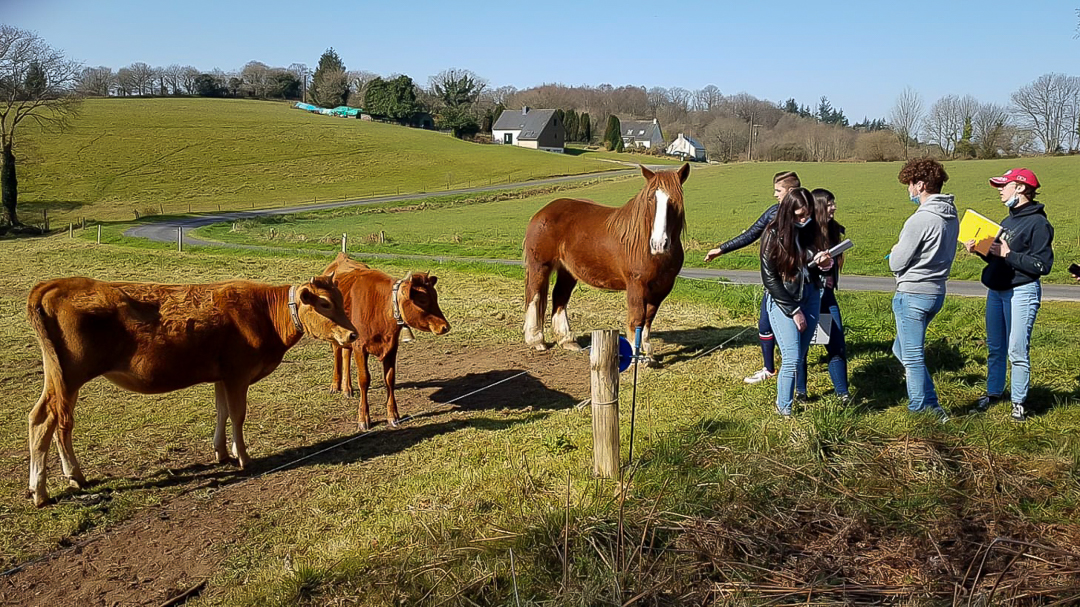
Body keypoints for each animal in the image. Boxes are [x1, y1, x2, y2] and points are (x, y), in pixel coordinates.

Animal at [25, 272, 356, 503]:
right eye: (324, 304)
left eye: (342, 301)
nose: (352, 335)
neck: (265, 313)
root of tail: (52, 285)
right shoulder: (237, 373)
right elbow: (238, 414)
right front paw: (243, 457)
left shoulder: (222, 376)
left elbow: (222, 412)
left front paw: (223, 452)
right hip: (70, 377)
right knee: (45, 420)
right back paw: (40, 492)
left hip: (61, 379)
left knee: (56, 421)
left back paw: (74, 476)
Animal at [321, 252, 453, 427]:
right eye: (423, 300)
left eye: (435, 297)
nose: (445, 326)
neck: (381, 307)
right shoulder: (360, 347)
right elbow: (364, 380)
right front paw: (363, 418)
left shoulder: (392, 347)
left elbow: (390, 379)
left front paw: (393, 414)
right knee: (338, 353)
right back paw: (336, 385)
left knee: (345, 354)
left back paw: (347, 388)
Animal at [524, 163, 691, 356]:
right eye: (650, 199)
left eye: (674, 200)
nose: (659, 243)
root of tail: (541, 213)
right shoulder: (636, 285)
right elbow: (636, 319)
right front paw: (635, 356)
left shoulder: (662, 288)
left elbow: (648, 319)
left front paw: (647, 352)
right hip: (540, 266)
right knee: (534, 296)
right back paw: (536, 340)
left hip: (568, 271)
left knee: (560, 297)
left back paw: (567, 341)